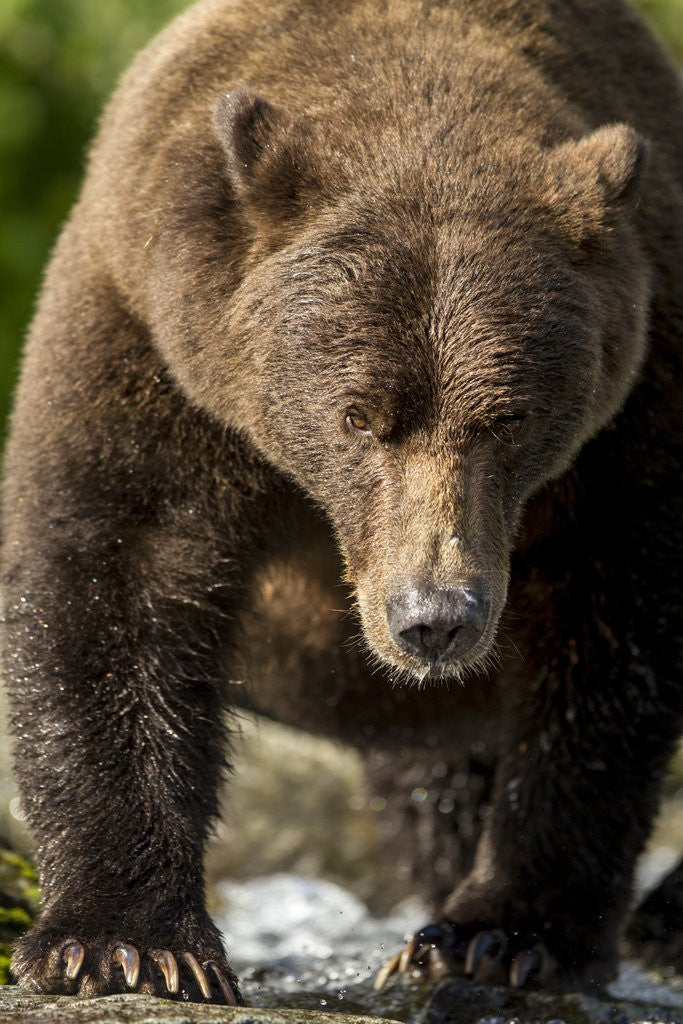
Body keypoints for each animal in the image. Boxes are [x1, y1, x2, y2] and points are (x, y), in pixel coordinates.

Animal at [3, 0, 682, 1005]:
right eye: (357, 414)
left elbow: (609, 634)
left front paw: (505, 935)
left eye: (508, 416)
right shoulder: (152, 340)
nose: (433, 617)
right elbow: (113, 574)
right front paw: (124, 944)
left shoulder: (633, 402)